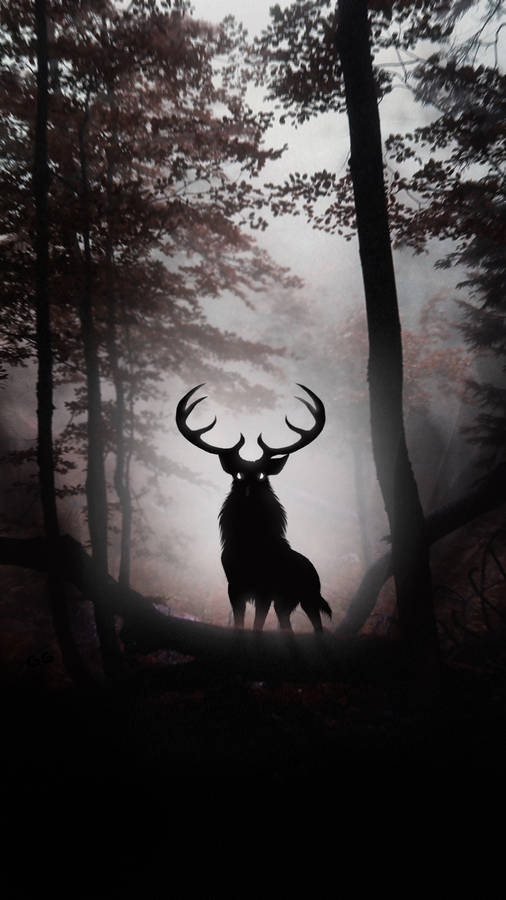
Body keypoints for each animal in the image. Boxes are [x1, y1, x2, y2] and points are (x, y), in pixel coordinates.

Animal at [176, 384, 332, 633]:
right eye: (238, 475)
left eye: (261, 475)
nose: (249, 490)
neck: (250, 546)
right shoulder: (234, 586)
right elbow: (239, 622)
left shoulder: (265, 589)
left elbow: (257, 625)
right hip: (286, 603)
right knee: (287, 625)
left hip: (308, 596)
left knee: (317, 626)